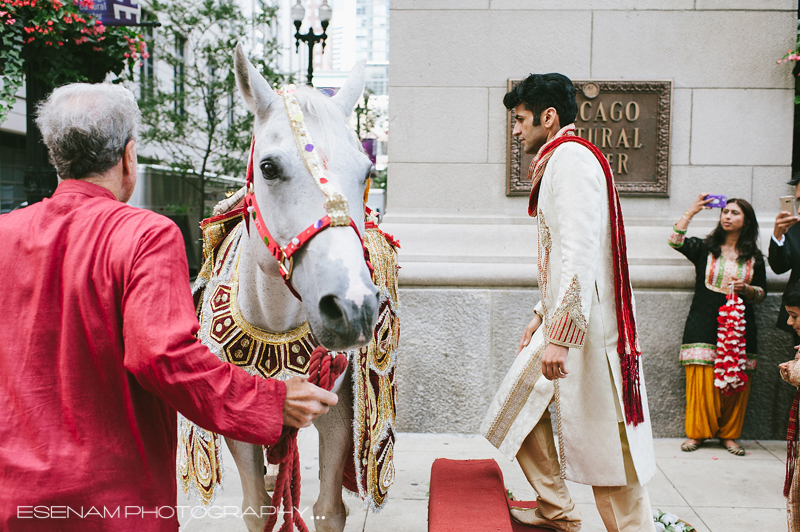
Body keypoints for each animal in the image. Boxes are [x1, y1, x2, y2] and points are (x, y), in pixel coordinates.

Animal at [217, 46, 380, 532]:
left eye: (367, 171)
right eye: (269, 168)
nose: (353, 307)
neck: (275, 324)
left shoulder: (338, 417)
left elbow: (328, 510)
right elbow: (257, 508)